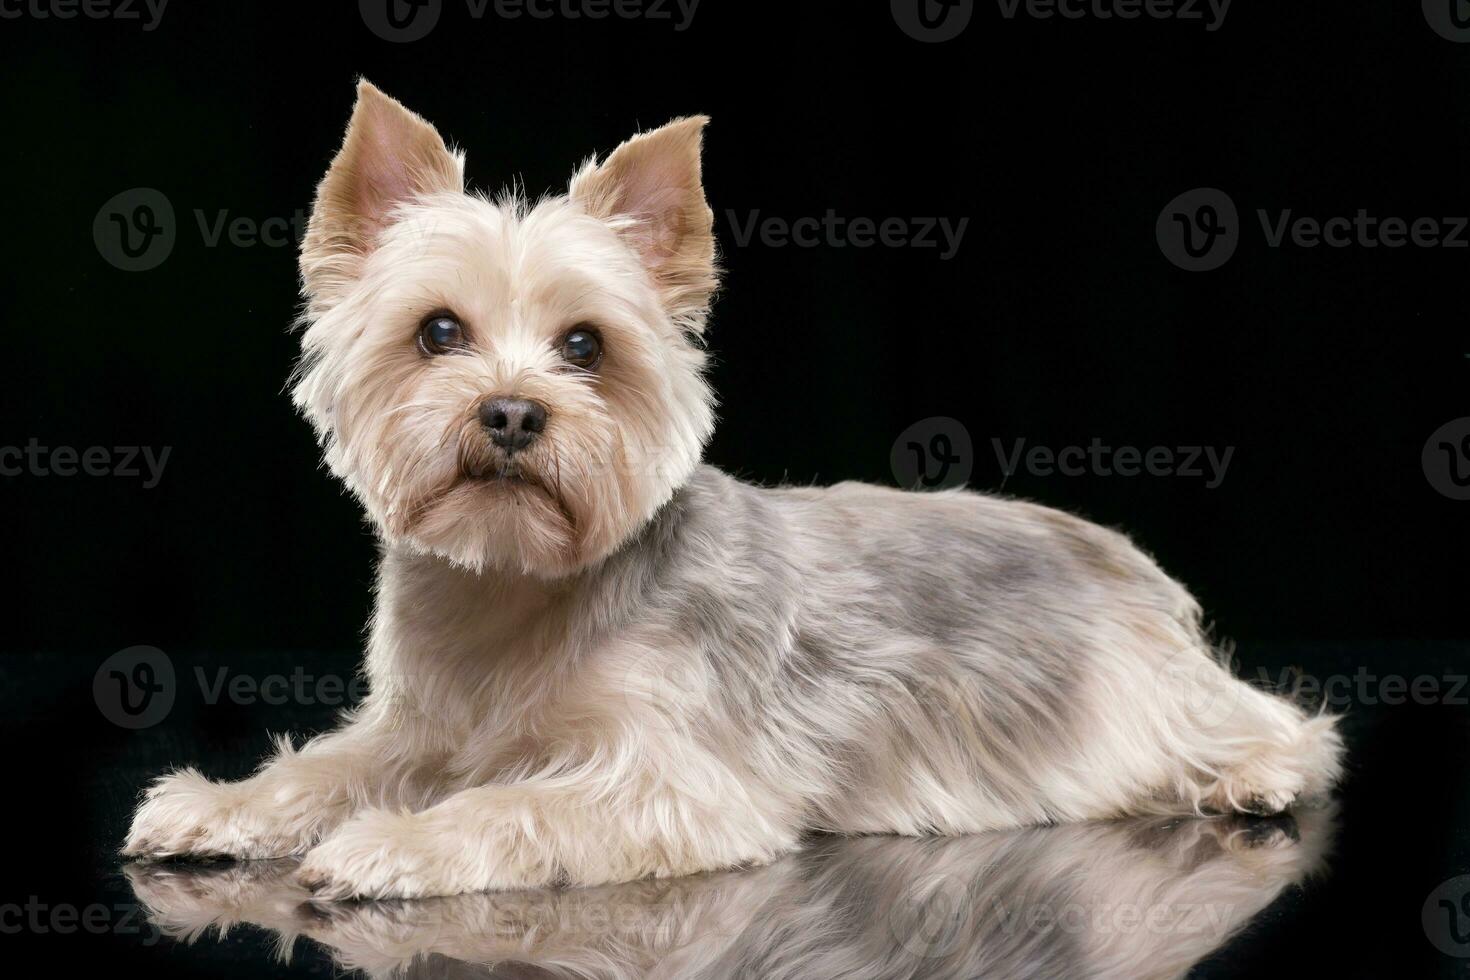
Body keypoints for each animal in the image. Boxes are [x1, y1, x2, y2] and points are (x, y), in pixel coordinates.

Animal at [126, 80, 1346, 899]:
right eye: (437, 331)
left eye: (585, 344)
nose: (512, 413)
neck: (520, 585)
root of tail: (1116, 549)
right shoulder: (416, 729)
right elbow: (327, 764)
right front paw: (219, 803)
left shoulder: (673, 782)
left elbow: (512, 801)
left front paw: (394, 840)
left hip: (1152, 704)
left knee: (1282, 728)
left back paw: (1252, 775)